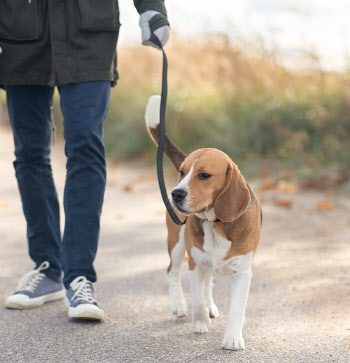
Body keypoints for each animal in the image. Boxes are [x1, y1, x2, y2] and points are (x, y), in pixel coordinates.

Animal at [144, 95, 262, 352]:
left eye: (204, 175)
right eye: (182, 172)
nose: (175, 194)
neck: (215, 223)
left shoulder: (242, 273)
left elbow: (236, 310)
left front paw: (233, 338)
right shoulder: (195, 263)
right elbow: (196, 297)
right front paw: (199, 323)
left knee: (208, 283)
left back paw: (210, 307)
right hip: (177, 245)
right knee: (172, 271)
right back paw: (179, 305)